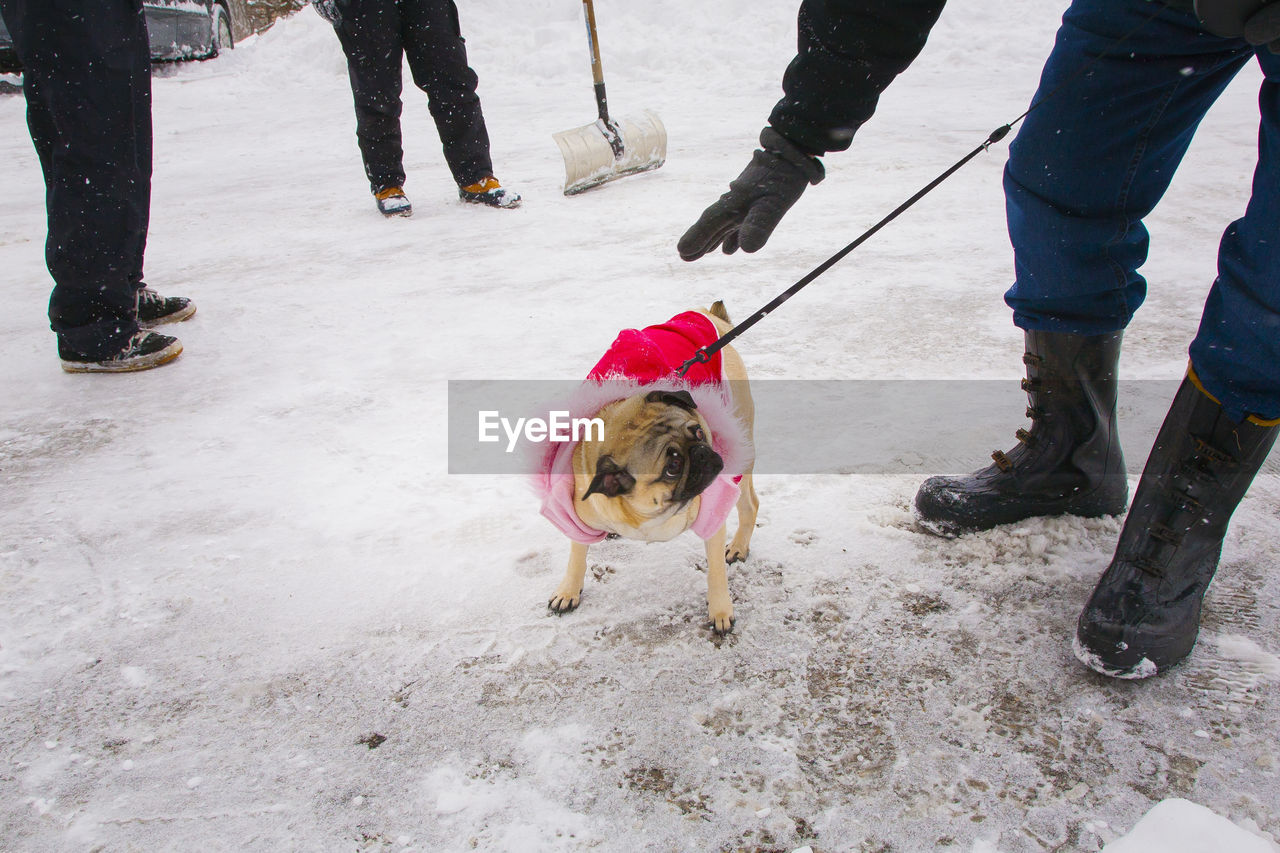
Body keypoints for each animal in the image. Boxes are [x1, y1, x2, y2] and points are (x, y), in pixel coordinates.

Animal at [532, 300, 752, 630]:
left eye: (699, 432)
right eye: (672, 466)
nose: (701, 453)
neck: (646, 513)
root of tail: (707, 316)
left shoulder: (713, 516)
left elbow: (715, 571)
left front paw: (720, 609)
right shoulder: (573, 515)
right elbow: (577, 555)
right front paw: (568, 590)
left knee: (750, 505)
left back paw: (738, 546)